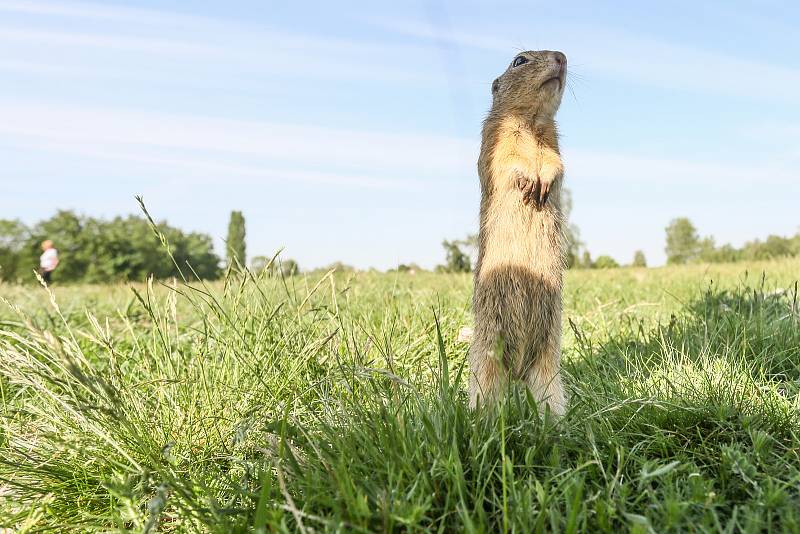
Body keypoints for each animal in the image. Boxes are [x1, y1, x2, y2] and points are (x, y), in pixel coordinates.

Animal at [468, 50, 568, 416]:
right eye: (519, 61)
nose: (562, 56)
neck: (533, 121)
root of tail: (518, 373)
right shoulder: (496, 137)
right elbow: (508, 159)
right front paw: (528, 180)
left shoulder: (554, 141)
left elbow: (556, 163)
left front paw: (544, 181)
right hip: (485, 364)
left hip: (549, 370)